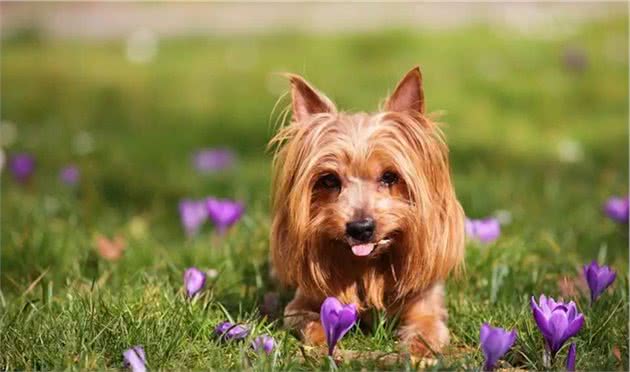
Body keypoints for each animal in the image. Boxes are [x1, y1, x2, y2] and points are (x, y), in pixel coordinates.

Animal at [266, 67, 464, 354]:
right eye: (329, 180)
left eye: (390, 177)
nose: (360, 228)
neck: (368, 266)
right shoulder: (301, 304)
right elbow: (309, 319)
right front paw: (325, 339)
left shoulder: (426, 304)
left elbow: (427, 329)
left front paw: (417, 351)